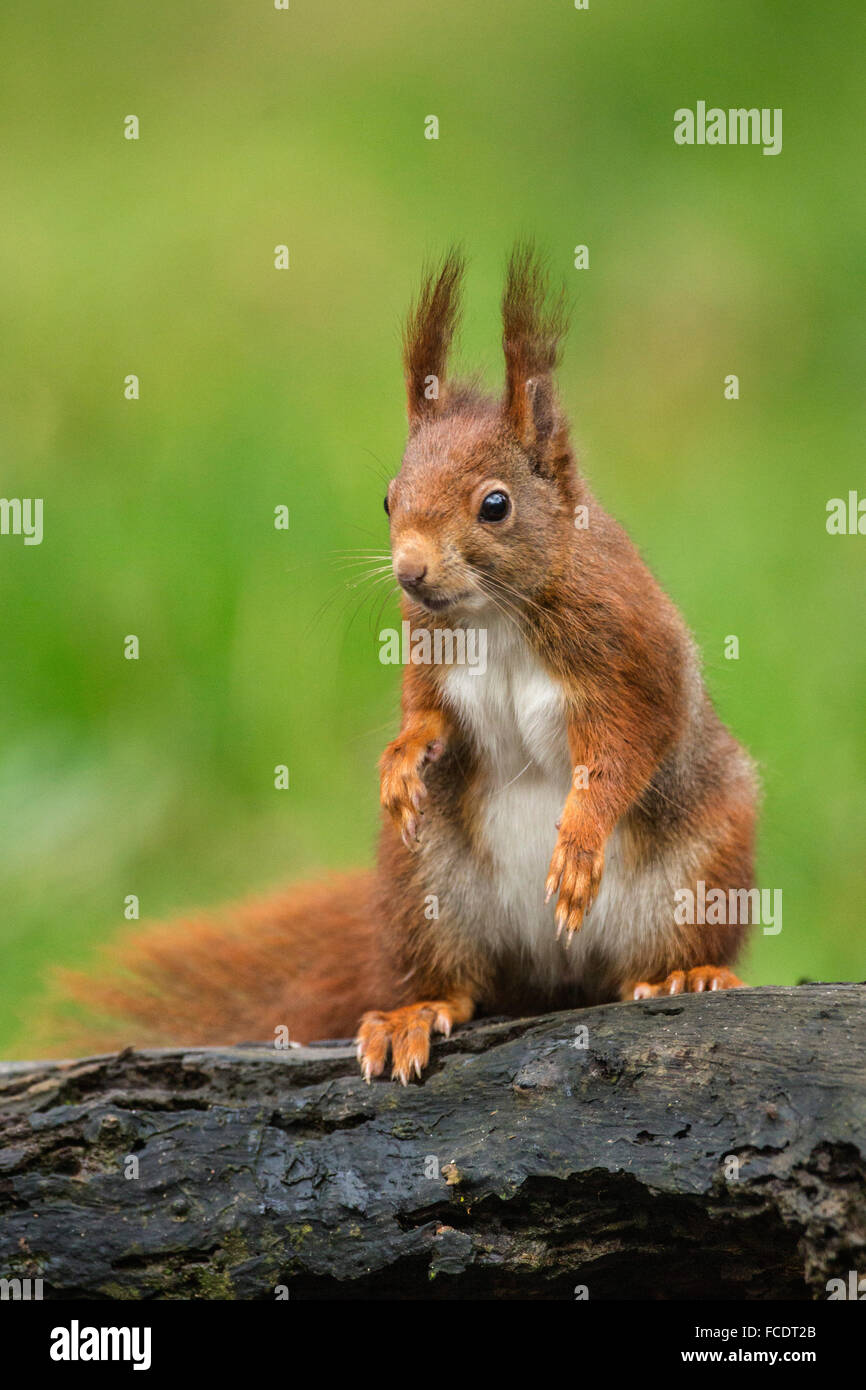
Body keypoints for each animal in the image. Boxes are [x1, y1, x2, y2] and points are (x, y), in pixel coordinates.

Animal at [52, 247, 756, 1073]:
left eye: (495, 505)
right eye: (389, 499)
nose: (410, 572)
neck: (494, 615)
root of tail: (554, 978)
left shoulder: (631, 655)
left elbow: (625, 748)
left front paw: (581, 838)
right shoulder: (429, 652)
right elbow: (427, 712)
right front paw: (400, 759)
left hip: (699, 869)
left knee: (657, 955)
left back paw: (686, 974)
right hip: (425, 888)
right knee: (458, 984)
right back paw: (412, 1013)